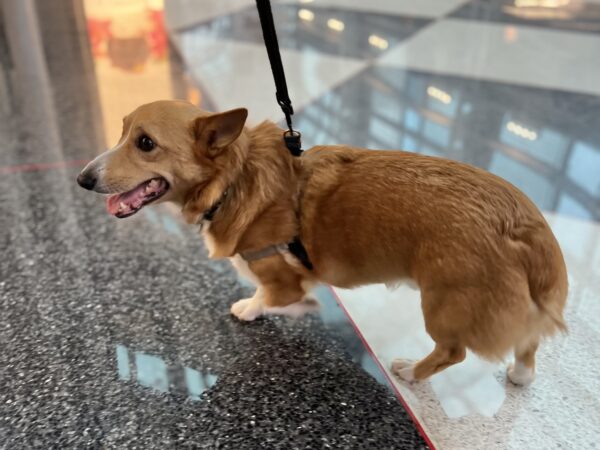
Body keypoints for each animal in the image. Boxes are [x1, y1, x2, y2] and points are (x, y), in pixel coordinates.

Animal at [78, 100, 568, 384]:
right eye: (121, 132)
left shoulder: (281, 280)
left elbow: (271, 297)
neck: (234, 180)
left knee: (454, 350)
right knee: (528, 344)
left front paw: (260, 308)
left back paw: (412, 373)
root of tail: (528, 231)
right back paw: (520, 376)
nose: (82, 179)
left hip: (442, 304)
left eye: (145, 143)